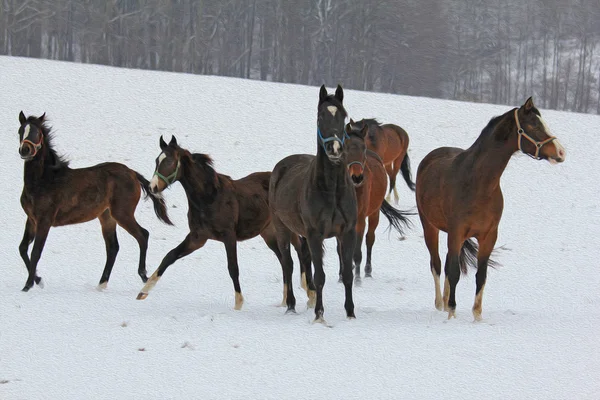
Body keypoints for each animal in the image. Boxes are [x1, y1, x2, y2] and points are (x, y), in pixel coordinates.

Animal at [17, 111, 171, 292]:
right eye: (21, 131)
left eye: (37, 133)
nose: (25, 150)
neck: (44, 181)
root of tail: (132, 173)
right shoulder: (31, 219)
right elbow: (23, 248)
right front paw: (38, 280)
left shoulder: (44, 220)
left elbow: (35, 252)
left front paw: (27, 286)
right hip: (107, 217)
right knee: (113, 247)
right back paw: (101, 284)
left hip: (122, 213)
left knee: (142, 235)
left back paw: (143, 276)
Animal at [134, 135, 308, 310]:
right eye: (157, 160)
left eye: (169, 161)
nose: (153, 187)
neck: (209, 198)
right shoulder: (198, 238)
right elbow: (170, 256)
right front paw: (143, 291)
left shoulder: (228, 236)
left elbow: (233, 268)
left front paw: (238, 304)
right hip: (269, 233)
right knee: (283, 259)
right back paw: (285, 300)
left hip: (285, 228)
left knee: (298, 248)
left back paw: (306, 289)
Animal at [268, 84, 356, 322]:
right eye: (320, 116)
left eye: (343, 115)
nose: (335, 149)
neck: (332, 190)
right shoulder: (316, 234)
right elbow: (320, 275)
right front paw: (319, 315)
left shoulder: (347, 232)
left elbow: (347, 274)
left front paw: (350, 313)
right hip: (282, 229)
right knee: (287, 264)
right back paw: (291, 305)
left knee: (302, 260)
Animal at [414, 98, 564, 320]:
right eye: (534, 126)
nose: (561, 152)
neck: (478, 184)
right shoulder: (457, 232)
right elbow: (454, 272)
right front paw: (452, 314)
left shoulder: (488, 236)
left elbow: (481, 275)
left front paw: (477, 316)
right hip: (430, 227)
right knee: (438, 264)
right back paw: (441, 304)